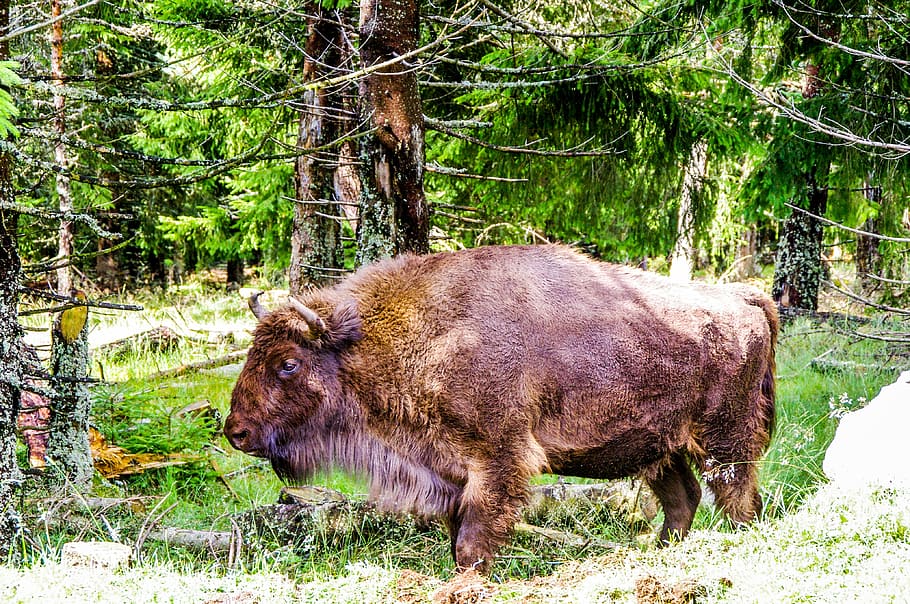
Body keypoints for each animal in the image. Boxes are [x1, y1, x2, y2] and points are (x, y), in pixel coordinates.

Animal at [225, 244, 777, 573]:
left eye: (288, 363)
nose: (236, 432)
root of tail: (745, 298)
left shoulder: (497, 458)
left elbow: (474, 535)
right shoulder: (450, 471)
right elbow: (457, 530)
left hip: (724, 441)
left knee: (740, 501)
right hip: (660, 449)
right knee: (684, 499)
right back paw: (659, 555)